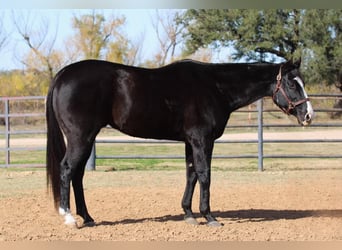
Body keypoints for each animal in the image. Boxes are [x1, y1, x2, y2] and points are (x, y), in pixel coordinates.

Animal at [46, 58, 314, 227]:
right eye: (292, 83)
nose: (309, 115)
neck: (216, 86)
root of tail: (62, 75)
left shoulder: (190, 141)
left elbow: (191, 174)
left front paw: (188, 214)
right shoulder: (202, 140)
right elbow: (204, 174)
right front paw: (209, 217)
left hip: (86, 138)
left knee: (78, 175)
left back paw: (88, 217)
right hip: (80, 137)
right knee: (67, 170)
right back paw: (69, 218)